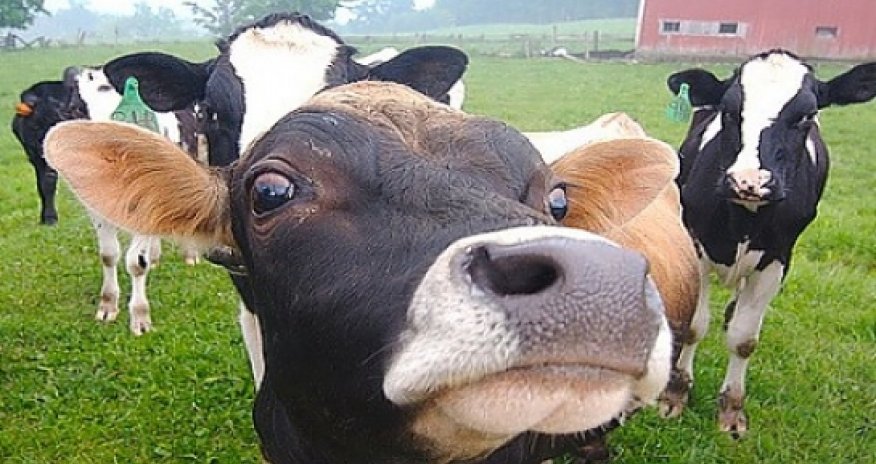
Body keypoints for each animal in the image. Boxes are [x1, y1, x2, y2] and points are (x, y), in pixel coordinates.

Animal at [665, 49, 876, 437]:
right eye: (729, 110)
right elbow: (694, 326)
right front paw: (675, 394)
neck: (745, 217)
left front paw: (732, 411)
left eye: (807, 115)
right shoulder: (696, 244)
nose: (749, 181)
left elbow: (745, 339)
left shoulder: (777, 259)